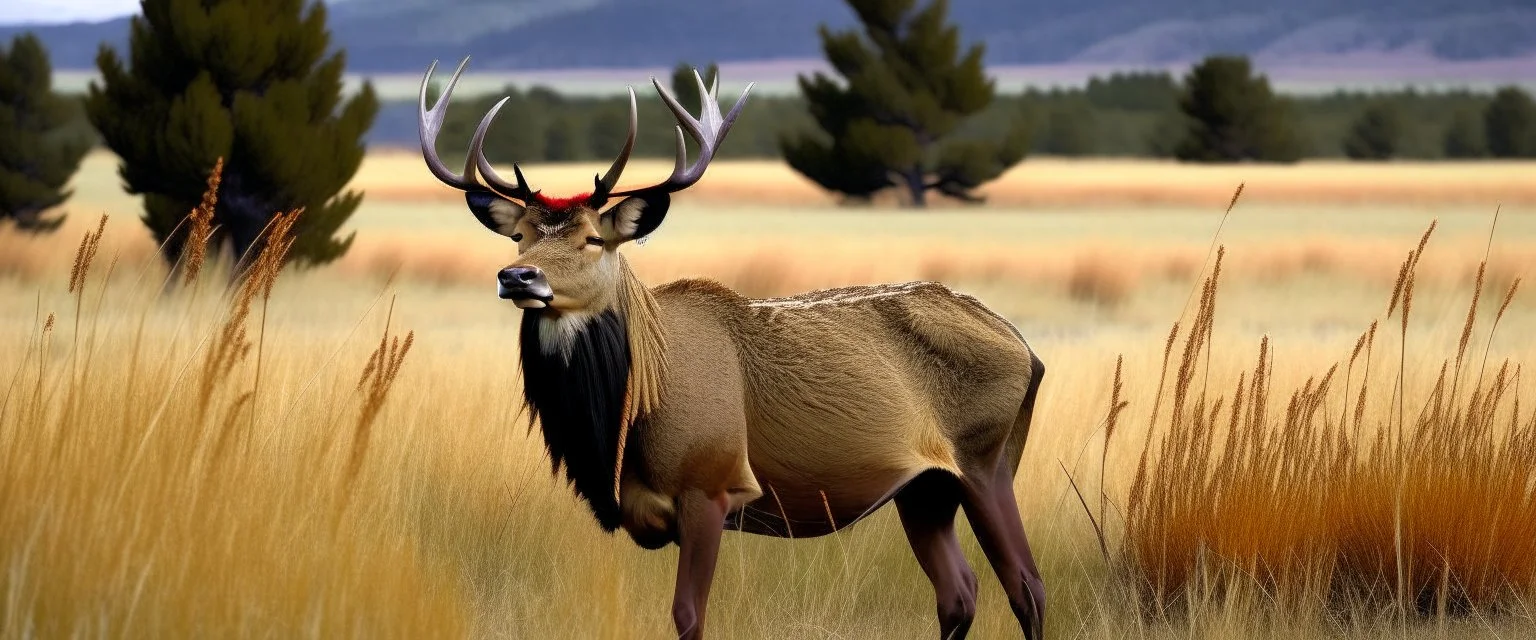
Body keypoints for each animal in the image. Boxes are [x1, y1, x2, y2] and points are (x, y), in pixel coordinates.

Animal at [417, 57, 1044, 635]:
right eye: (520, 236)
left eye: (593, 239)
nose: (518, 277)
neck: (631, 418)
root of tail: (1024, 346)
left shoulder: (712, 482)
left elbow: (689, 614)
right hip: (924, 487)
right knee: (959, 590)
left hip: (986, 457)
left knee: (1026, 585)